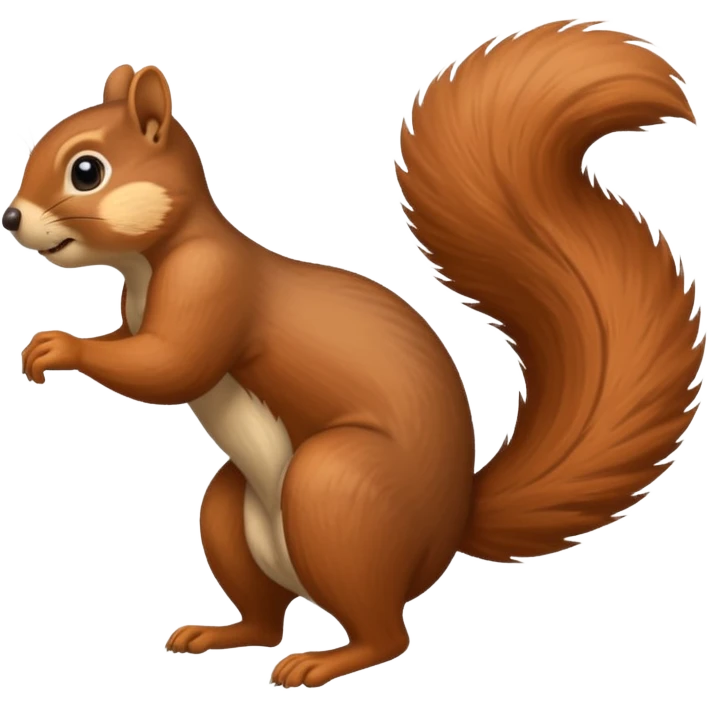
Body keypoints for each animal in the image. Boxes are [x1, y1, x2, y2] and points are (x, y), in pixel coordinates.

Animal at [3, 19, 704, 688]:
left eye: (86, 170)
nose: (10, 218)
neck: (148, 262)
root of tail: (451, 529)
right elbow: (135, 350)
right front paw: (43, 348)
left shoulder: (214, 286)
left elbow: (170, 366)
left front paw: (59, 347)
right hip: (233, 512)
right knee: (267, 619)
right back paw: (220, 635)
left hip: (336, 490)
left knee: (386, 635)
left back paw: (322, 663)